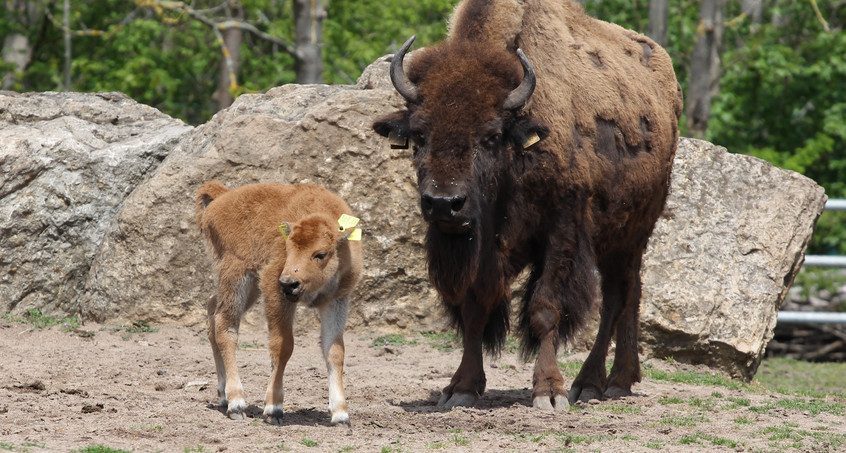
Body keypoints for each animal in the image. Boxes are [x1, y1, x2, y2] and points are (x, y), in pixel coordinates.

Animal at [197, 180, 362, 424]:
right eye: (288, 247)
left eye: (320, 254)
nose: (288, 283)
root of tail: (222, 197)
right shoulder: (275, 292)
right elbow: (283, 346)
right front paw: (273, 409)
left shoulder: (336, 301)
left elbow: (335, 351)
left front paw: (341, 415)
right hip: (237, 277)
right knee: (226, 327)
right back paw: (237, 403)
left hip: (249, 289)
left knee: (212, 312)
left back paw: (224, 396)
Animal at [374, 0, 684, 410]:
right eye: (419, 134)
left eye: (490, 136)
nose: (444, 204)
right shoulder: (480, 247)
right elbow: (474, 308)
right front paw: (461, 388)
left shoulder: (563, 230)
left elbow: (545, 308)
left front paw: (549, 391)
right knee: (629, 292)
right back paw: (619, 380)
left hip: (632, 230)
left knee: (618, 295)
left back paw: (594, 383)